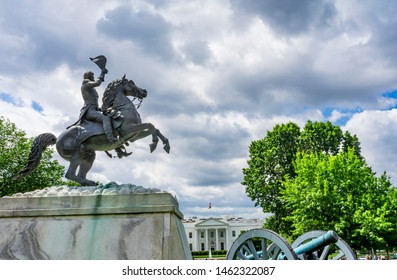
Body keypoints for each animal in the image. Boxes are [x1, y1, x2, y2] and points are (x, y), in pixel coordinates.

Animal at [15, 76, 169, 186]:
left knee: (80, 174)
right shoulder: (128, 130)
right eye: (131, 82)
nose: (144, 92)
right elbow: (150, 125)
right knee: (70, 175)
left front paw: (165, 144)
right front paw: (154, 144)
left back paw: (90, 183)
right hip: (77, 154)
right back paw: (88, 183)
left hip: (89, 155)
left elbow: (154, 128)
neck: (123, 109)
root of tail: (57, 138)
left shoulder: (134, 136)